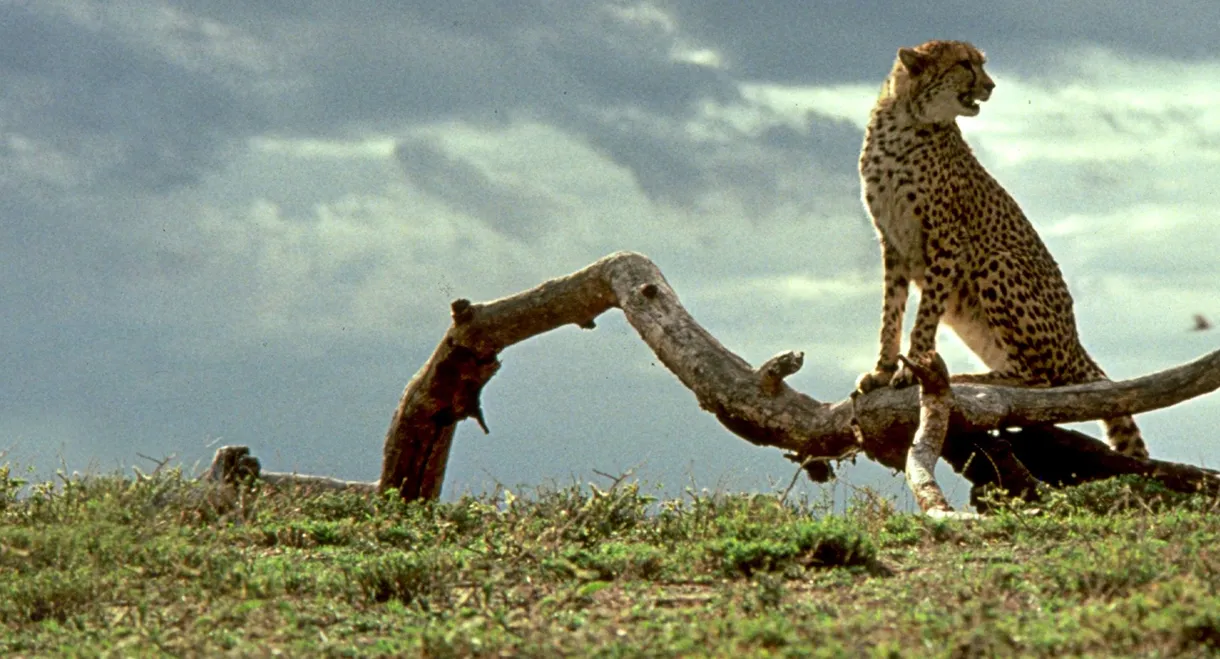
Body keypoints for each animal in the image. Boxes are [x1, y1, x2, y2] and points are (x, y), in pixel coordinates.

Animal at [854, 39, 1148, 459]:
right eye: (965, 64)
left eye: (981, 64)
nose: (991, 85)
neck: (907, 120)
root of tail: (1075, 342)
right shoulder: (892, 243)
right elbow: (890, 313)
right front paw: (881, 371)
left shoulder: (946, 239)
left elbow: (924, 317)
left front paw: (911, 370)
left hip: (998, 263)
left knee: (1043, 381)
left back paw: (972, 379)